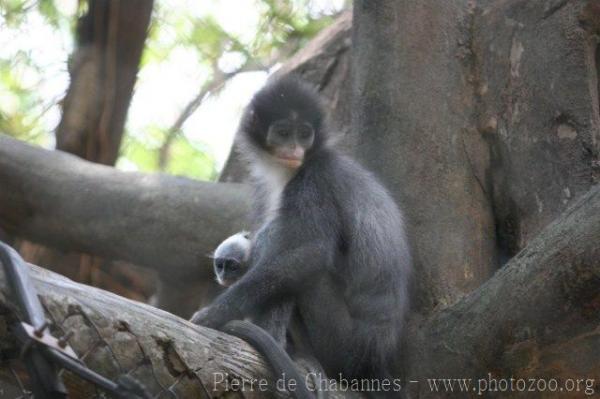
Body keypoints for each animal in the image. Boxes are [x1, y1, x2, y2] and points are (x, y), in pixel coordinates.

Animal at [192, 76, 412, 398]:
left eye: (304, 134)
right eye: (283, 132)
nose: (295, 148)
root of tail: (373, 360)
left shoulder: (315, 177)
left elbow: (313, 252)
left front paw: (216, 313)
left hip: (341, 344)